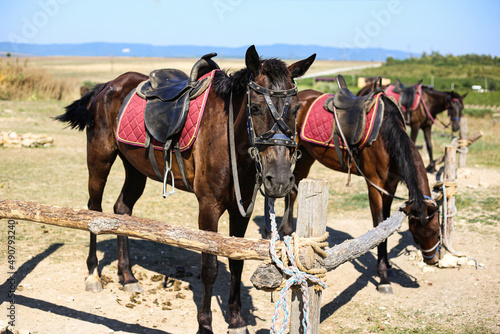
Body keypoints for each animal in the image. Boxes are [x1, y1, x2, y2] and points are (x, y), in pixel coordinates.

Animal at [56, 45, 314, 334]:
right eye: (256, 107)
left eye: (296, 108)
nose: (279, 179)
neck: (229, 140)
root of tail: (106, 87)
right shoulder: (208, 208)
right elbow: (209, 267)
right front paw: (205, 325)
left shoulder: (241, 209)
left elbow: (236, 261)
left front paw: (236, 320)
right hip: (99, 158)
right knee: (94, 210)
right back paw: (93, 274)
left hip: (135, 168)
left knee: (121, 209)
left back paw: (128, 276)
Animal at [270, 76, 442, 294]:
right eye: (418, 234)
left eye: (437, 231)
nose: (432, 260)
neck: (385, 137)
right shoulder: (375, 186)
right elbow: (379, 226)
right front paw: (383, 277)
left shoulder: (390, 186)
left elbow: (386, 223)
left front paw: (388, 267)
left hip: (307, 157)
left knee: (292, 192)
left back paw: (287, 230)